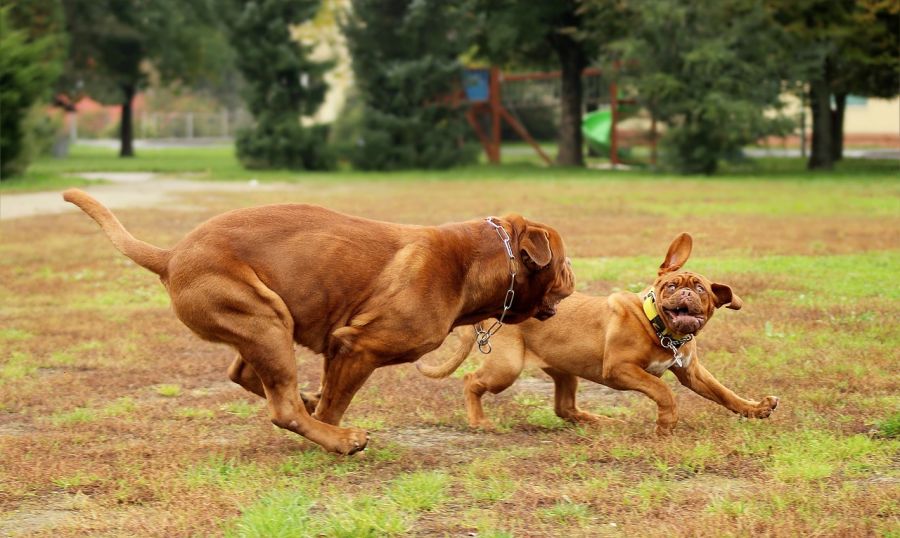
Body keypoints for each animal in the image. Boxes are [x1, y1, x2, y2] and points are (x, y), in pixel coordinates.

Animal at [61, 189, 576, 452]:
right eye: (563, 258)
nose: (575, 271)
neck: (474, 261)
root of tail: (169, 256)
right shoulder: (355, 346)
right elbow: (335, 403)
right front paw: (333, 432)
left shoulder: (337, 348)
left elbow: (324, 394)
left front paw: (320, 405)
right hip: (266, 320)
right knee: (283, 406)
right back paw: (339, 438)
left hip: (264, 323)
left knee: (247, 374)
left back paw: (309, 402)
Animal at [418, 232, 776, 434]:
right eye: (671, 286)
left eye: (700, 289)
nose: (686, 294)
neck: (659, 328)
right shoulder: (620, 369)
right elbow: (663, 390)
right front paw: (665, 423)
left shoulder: (693, 372)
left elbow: (724, 393)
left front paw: (755, 409)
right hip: (507, 367)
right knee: (471, 381)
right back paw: (479, 422)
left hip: (564, 369)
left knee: (565, 409)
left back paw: (602, 422)